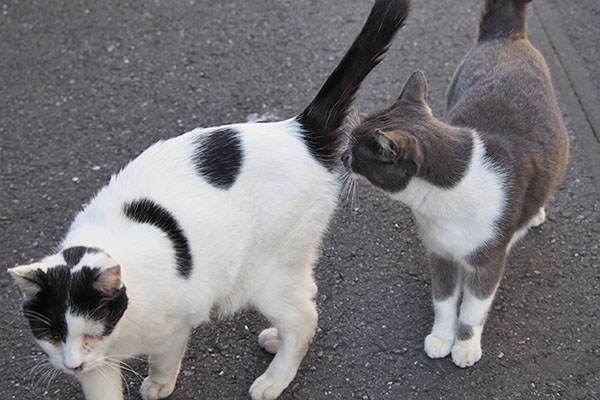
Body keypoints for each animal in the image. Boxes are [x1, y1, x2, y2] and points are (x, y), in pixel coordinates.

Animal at [8, 0, 412, 400]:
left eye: (91, 333)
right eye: (52, 335)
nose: (71, 365)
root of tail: (298, 130)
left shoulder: (173, 324)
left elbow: (164, 357)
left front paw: (158, 384)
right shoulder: (97, 368)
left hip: (265, 272)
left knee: (303, 318)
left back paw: (274, 378)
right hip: (289, 261)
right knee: (307, 298)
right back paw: (276, 340)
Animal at [340, 0, 568, 368]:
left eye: (355, 152)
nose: (340, 157)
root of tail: (504, 34)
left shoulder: (490, 258)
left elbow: (474, 309)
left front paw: (466, 346)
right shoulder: (439, 252)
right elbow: (444, 301)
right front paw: (440, 339)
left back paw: (534, 214)